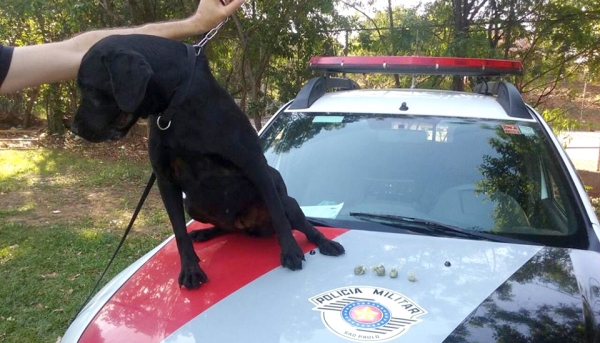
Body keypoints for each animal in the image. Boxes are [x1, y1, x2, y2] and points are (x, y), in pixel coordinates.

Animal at [69, 35, 344, 288]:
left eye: (89, 89)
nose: (73, 128)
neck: (178, 103)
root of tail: (248, 225)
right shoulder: (165, 179)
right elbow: (179, 232)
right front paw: (191, 270)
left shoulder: (254, 163)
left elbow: (278, 213)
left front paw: (290, 251)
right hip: (193, 204)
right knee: (226, 227)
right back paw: (205, 232)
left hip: (284, 197)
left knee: (298, 221)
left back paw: (325, 242)